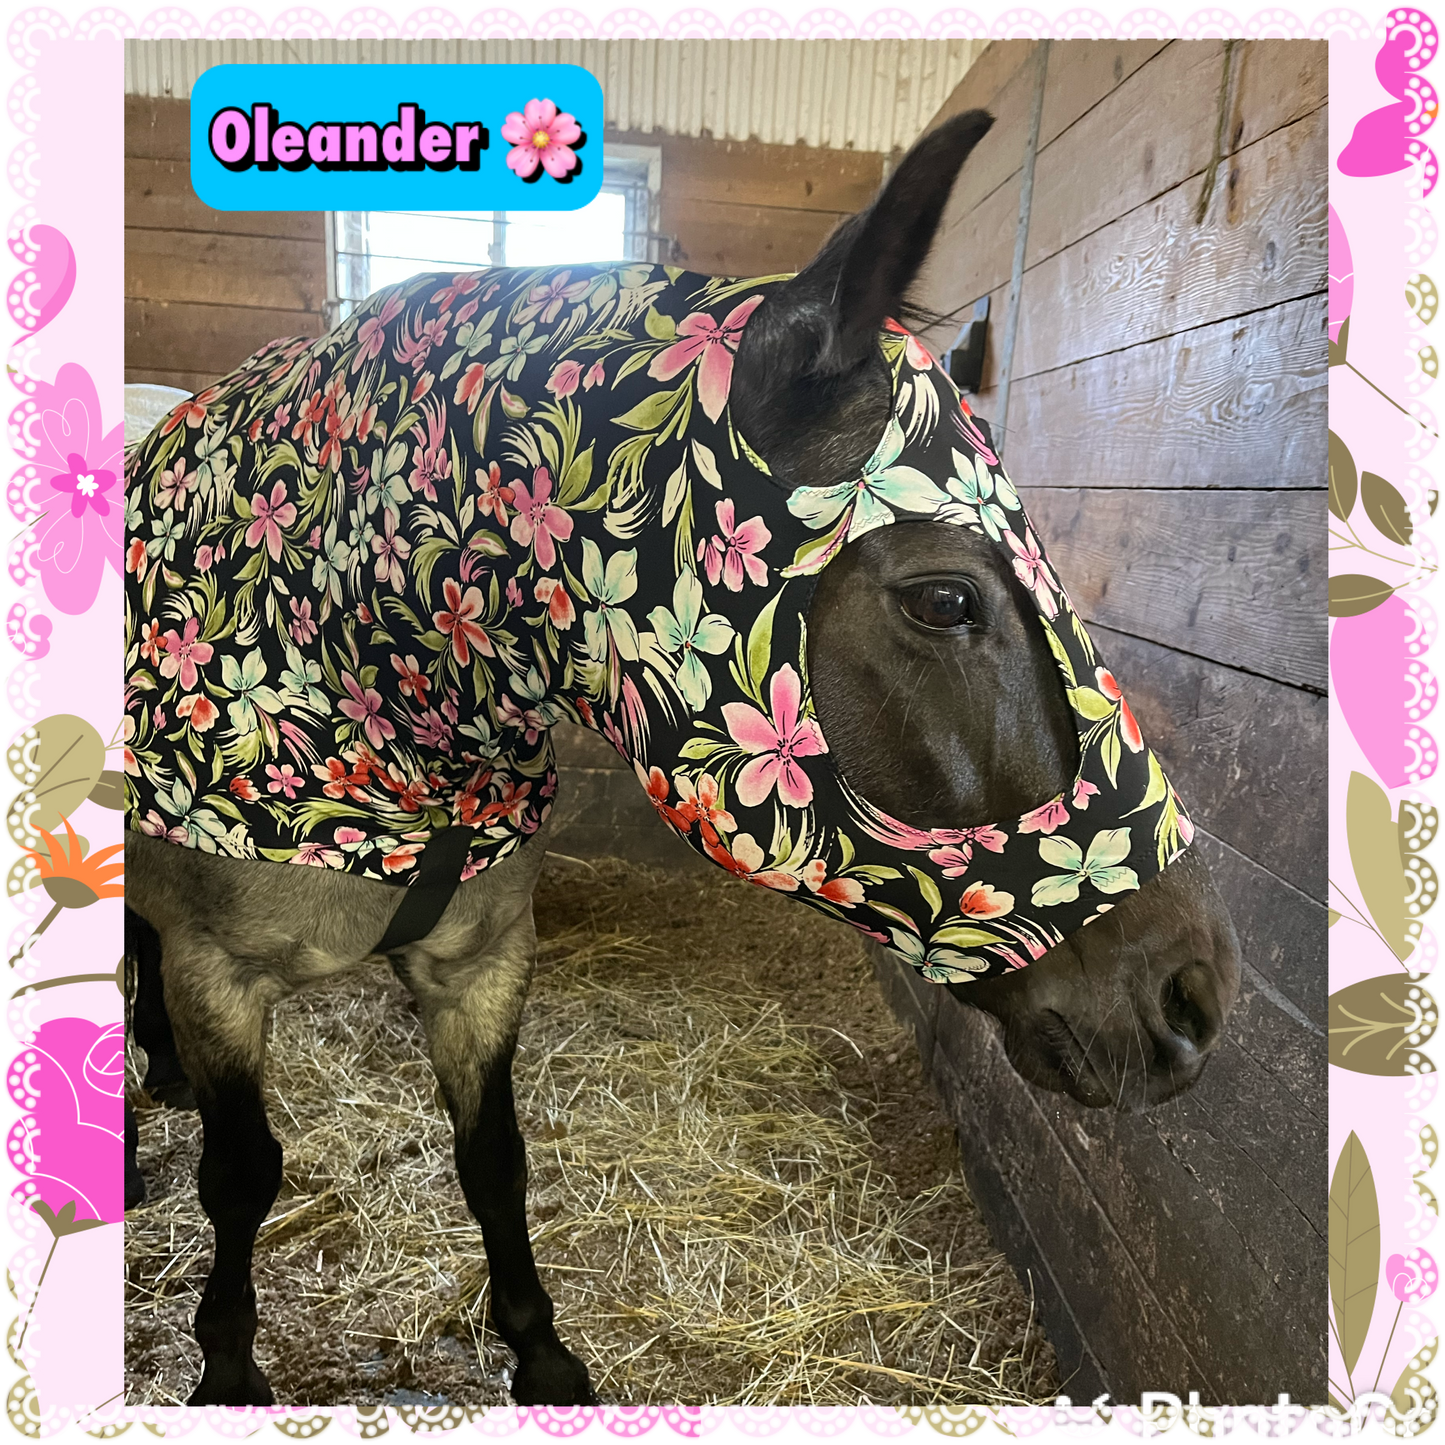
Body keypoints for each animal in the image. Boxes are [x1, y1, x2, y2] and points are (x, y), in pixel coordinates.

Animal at [122, 110, 1241, 1407]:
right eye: (944, 598)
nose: (1193, 996)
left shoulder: (479, 960)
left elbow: (493, 1153)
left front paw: (539, 1348)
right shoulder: (219, 975)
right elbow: (243, 1174)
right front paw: (226, 1366)